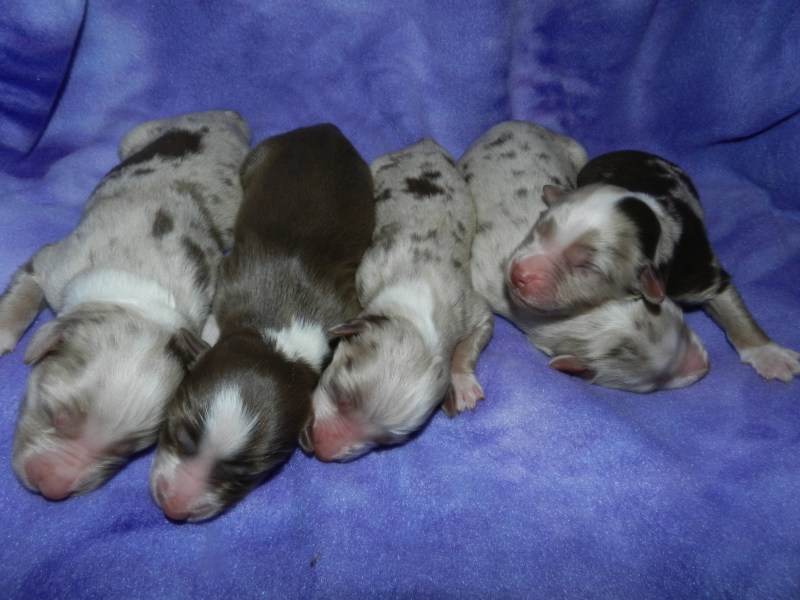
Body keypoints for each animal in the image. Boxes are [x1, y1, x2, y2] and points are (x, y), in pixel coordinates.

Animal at [0, 110, 250, 499]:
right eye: (54, 413)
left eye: (127, 450)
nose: (52, 489)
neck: (136, 294)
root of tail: (226, 116)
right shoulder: (53, 264)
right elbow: (24, 291)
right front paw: (2, 333)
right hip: (140, 134)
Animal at [149, 123, 375, 521]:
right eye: (175, 433)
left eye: (246, 475)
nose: (174, 508)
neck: (278, 338)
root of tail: (327, 130)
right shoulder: (229, 278)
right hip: (261, 156)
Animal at [307, 138, 494, 462]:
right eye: (340, 393)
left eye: (384, 442)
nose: (321, 452)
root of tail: (424, 143)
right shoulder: (368, 273)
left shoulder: (470, 308)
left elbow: (471, 341)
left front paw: (463, 382)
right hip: (378, 165)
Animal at [460, 121, 709, 392]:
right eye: (656, 383)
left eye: (683, 326)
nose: (705, 366)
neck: (591, 316)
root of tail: (512, 123)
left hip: (575, 150)